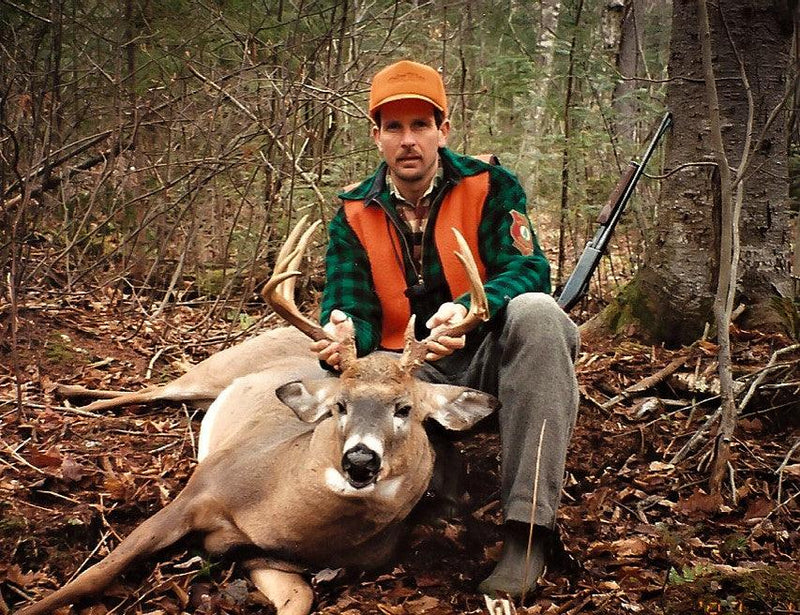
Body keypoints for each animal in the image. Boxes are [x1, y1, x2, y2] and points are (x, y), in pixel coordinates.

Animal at [16, 218, 499, 615]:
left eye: (405, 409)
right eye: (339, 405)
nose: (360, 461)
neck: (276, 511)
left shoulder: (265, 557)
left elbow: (299, 600)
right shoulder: (199, 488)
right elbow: (95, 574)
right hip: (217, 367)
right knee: (153, 389)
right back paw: (68, 396)